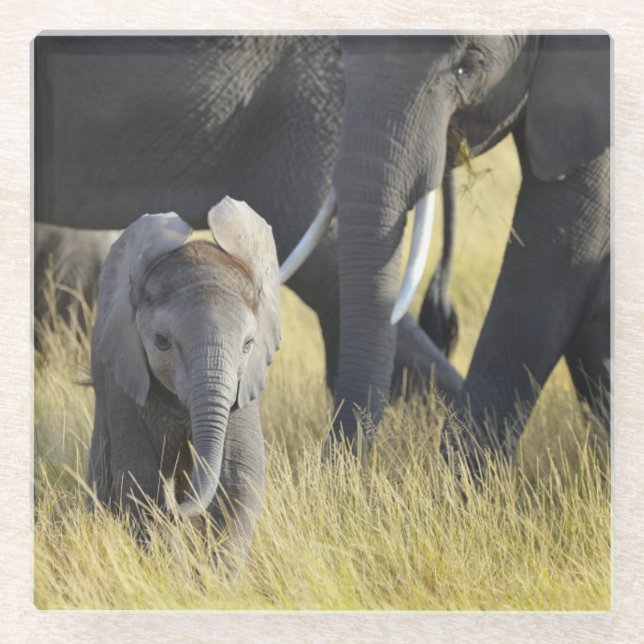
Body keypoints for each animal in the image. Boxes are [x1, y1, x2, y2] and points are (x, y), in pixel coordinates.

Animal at [88, 197, 280, 559]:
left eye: (248, 345)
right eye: (162, 341)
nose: (178, 504)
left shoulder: (242, 387)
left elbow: (239, 476)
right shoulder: (123, 378)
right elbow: (141, 480)